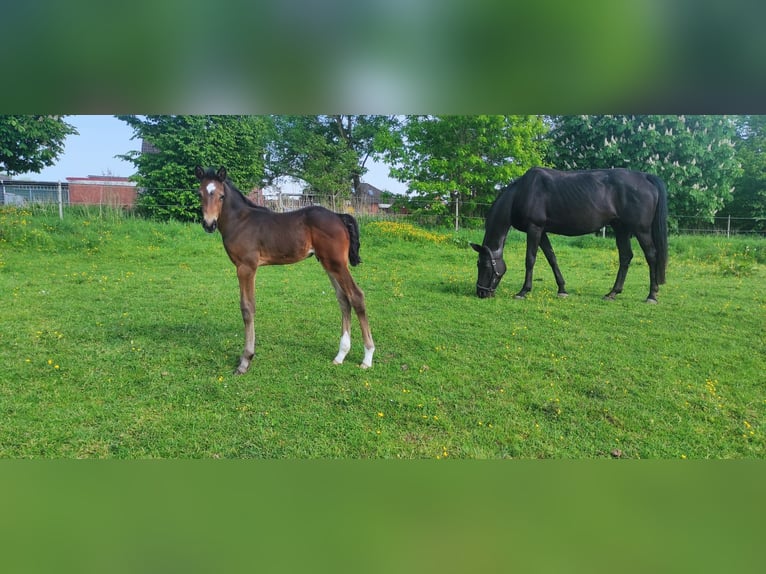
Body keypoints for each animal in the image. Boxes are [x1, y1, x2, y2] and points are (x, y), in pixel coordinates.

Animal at [194, 166, 375, 374]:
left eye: (221, 196)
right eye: (200, 194)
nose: (209, 224)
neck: (240, 221)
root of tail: (338, 216)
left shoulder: (246, 267)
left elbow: (247, 308)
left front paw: (245, 360)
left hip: (336, 264)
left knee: (356, 296)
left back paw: (367, 357)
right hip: (329, 264)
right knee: (344, 299)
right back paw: (340, 355)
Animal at [470, 167, 668, 303]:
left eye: (484, 265)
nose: (481, 292)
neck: (522, 192)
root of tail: (645, 177)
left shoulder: (534, 229)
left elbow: (530, 259)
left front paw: (523, 291)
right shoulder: (542, 231)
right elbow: (551, 258)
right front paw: (562, 289)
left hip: (641, 230)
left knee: (651, 256)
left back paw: (651, 295)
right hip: (621, 229)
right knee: (626, 256)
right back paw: (612, 293)